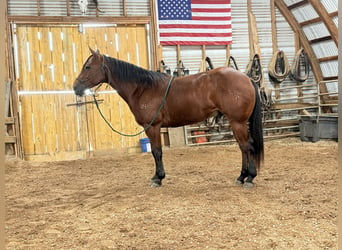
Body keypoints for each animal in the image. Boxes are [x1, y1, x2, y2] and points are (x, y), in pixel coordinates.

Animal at [72, 48, 264, 188]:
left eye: (88, 67)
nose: (75, 87)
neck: (143, 88)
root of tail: (247, 79)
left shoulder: (152, 127)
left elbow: (156, 152)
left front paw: (158, 178)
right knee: (243, 148)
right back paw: (241, 177)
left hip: (237, 122)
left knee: (247, 146)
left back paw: (249, 178)